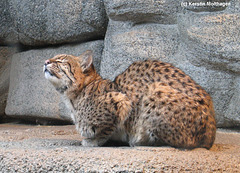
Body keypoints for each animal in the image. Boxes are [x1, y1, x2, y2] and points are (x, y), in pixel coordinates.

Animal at [44, 50, 217, 149]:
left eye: (60, 61)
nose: (45, 62)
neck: (72, 96)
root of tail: (211, 134)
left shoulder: (121, 101)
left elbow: (105, 129)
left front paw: (93, 141)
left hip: (155, 90)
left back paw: (139, 140)